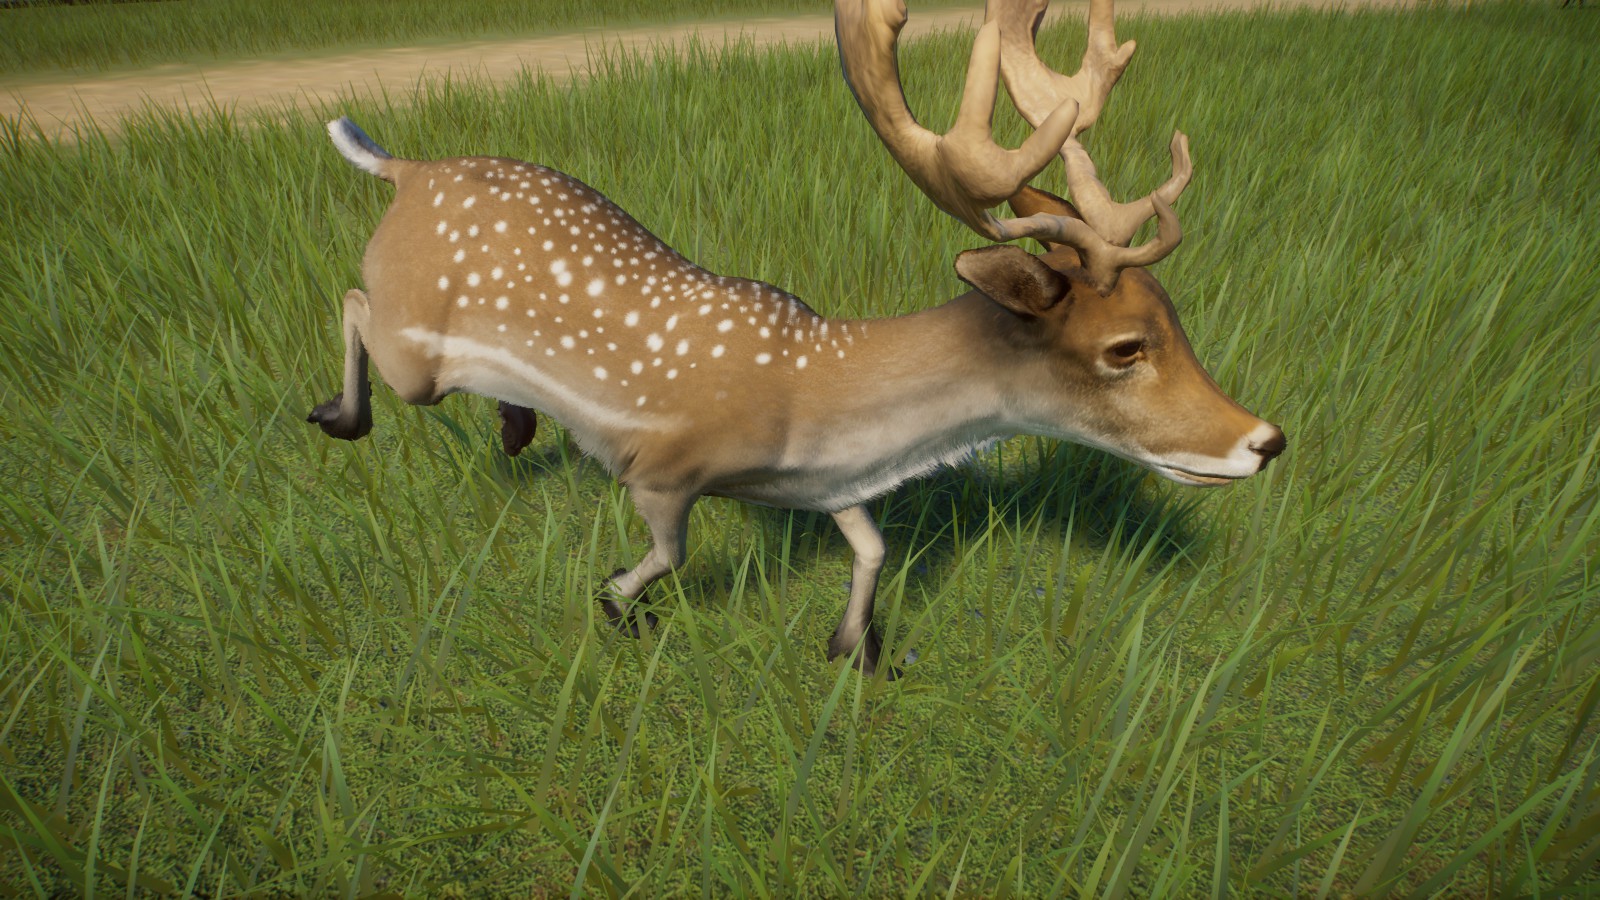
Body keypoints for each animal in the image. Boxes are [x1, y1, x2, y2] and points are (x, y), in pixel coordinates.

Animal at [308, 0, 1285, 678]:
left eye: (1175, 316)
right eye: (1125, 347)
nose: (1266, 441)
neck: (823, 404)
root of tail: (406, 168)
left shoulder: (829, 483)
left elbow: (872, 545)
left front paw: (856, 650)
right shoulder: (662, 468)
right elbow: (670, 551)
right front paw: (618, 608)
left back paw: (515, 427)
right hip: (413, 348)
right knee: (355, 301)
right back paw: (339, 417)